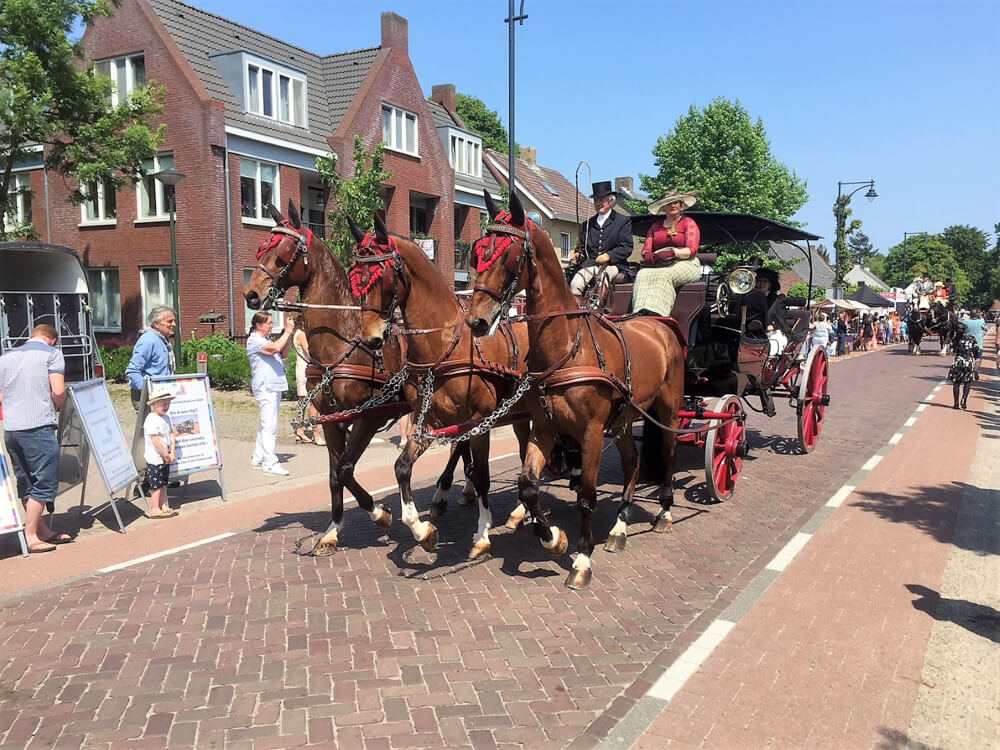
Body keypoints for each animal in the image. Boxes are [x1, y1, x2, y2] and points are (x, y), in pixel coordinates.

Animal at [245, 203, 472, 556]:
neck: (344, 340)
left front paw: (380, 513)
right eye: (261, 248)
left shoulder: (369, 416)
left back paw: (444, 494)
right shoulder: (330, 418)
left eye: (283, 251)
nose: (251, 294)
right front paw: (332, 530)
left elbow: (345, 468)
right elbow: (334, 474)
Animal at [346, 214, 532, 560]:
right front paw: (422, 531)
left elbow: (482, 476)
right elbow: (402, 467)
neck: (445, 344)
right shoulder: (429, 422)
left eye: (384, 278)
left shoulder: (479, 421)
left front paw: (483, 533)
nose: (370, 339)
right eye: (354, 278)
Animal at [466, 194, 688, 592]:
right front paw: (553, 538)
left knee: (669, 454)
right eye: (478, 254)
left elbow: (586, 496)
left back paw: (663, 511)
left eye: (508, 255)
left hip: (668, 411)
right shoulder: (544, 428)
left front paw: (582, 558)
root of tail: (660, 323)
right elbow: (527, 485)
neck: (569, 346)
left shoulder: (591, 434)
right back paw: (619, 527)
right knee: (632, 464)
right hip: (625, 419)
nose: (475, 321)